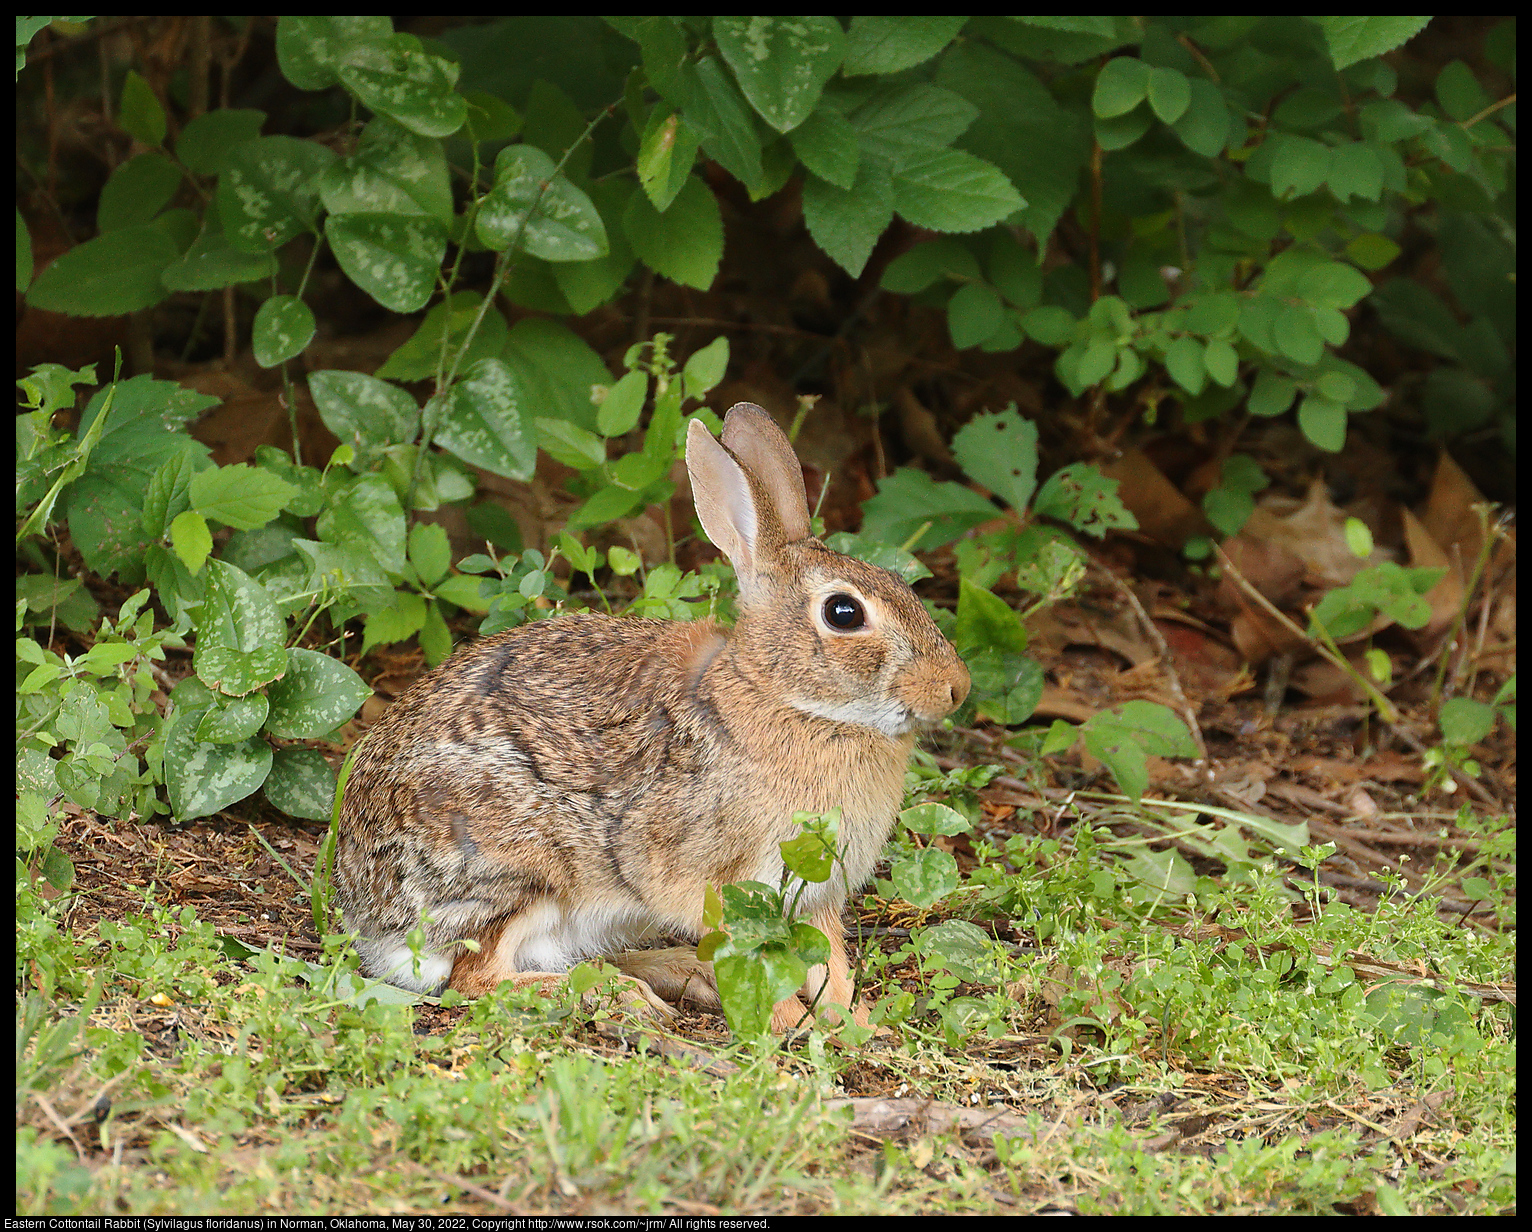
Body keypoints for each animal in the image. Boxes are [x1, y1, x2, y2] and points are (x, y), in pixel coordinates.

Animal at [341, 398, 974, 1023]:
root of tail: (368, 917)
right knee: (480, 979)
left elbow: (829, 964)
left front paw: (854, 1021)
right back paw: (620, 996)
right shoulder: (716, 882)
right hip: (520, 870)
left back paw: (675, 975)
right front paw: (785, 1020)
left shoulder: (814, 893)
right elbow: (752, 961)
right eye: (844, 613)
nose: (956, 688)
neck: (790, 702)